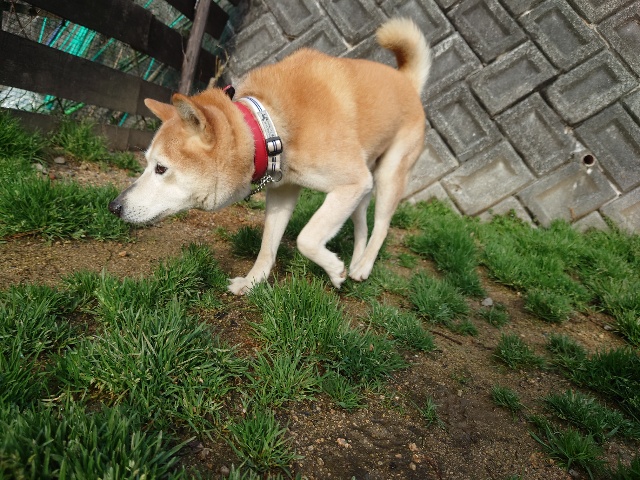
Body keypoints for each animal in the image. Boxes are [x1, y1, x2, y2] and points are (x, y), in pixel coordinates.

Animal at [109, 18, 431, 295]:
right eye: (147, 164)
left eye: (161, 169)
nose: (113, 206)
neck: (269, 128)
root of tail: (406, 81)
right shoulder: (283, 192)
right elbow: (268, 246)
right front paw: (252, 283)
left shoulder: (350, 183)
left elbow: (306, 238)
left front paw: (333, 270)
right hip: (363, 189)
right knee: (363, 225)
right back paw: (356, 261)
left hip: (386, 177)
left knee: (382, 227)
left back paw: (362, 266)